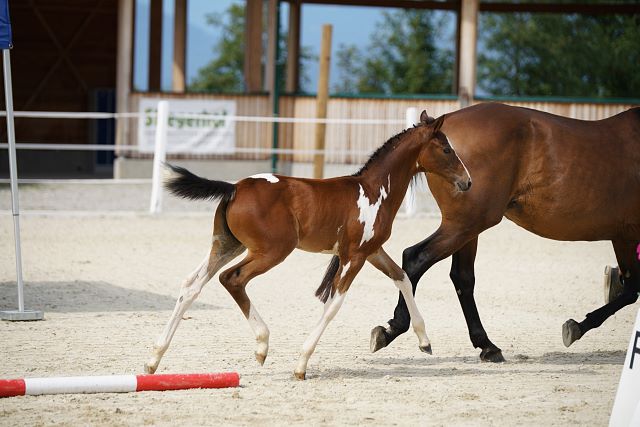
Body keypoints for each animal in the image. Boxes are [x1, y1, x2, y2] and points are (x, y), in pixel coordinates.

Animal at [148, 113, 472, 382]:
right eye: (446, 149)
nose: (467, 182)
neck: (375, 191)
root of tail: (234, 188)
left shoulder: (372, 251)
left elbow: (402, 277)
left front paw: (424, 341)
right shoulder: (354, 256)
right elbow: (334, 305)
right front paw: (301, 365)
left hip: (228, 245)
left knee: (191, 285)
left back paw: (153, 359)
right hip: (271, 251)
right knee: (232, 279)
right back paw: (262, 346)